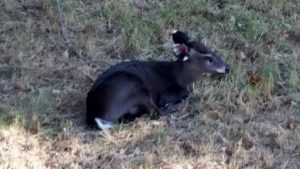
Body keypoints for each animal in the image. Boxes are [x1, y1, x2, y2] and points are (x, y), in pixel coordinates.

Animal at [85, 30, 229, 129]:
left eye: (211, 50)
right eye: (209, 58)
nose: (227, 67)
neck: (179, 76)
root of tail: (93, 114)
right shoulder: (167, 93)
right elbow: (184, 93)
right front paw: (169, 104)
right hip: (135, 88)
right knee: (156, 112)